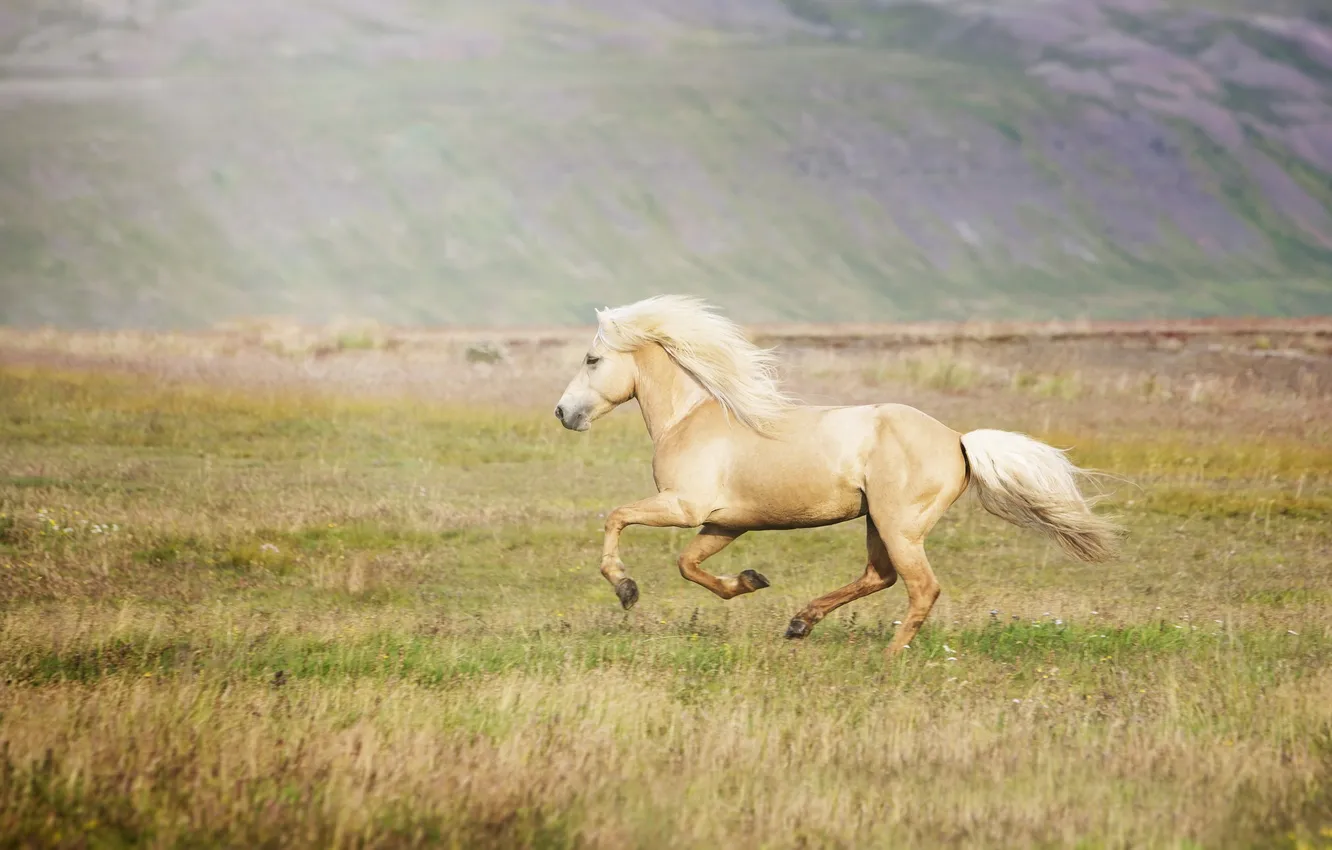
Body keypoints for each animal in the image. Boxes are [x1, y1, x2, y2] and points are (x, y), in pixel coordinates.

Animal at [553, 295, 1122, 655]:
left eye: (592, 358)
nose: (563, 413)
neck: (690, 419)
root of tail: (958, 441)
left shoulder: (683, 505)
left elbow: (617, 517)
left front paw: (625, 588)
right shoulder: (725, 522)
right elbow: (689, 565)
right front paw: (748, 581)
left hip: (898, 526)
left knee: (921, 589)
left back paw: (888, 655)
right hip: (877, 523)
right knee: (879, 576)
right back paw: (800, 623)